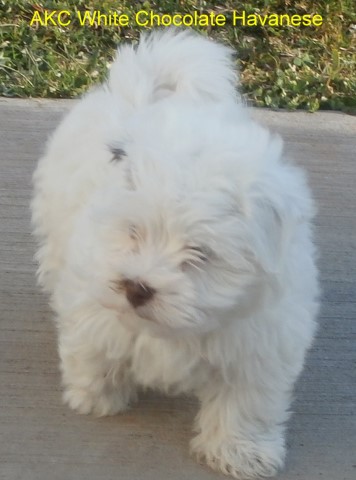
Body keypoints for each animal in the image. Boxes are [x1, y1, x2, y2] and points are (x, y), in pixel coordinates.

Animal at [31, 30, 320, 480]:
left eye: (199, 254)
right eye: (133, 232)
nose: (136, 288)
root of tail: (141, 92)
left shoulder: (260, 342)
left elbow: (246, 400)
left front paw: (239, 450)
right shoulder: (92, 293)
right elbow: (93, 345)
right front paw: (96, 395)